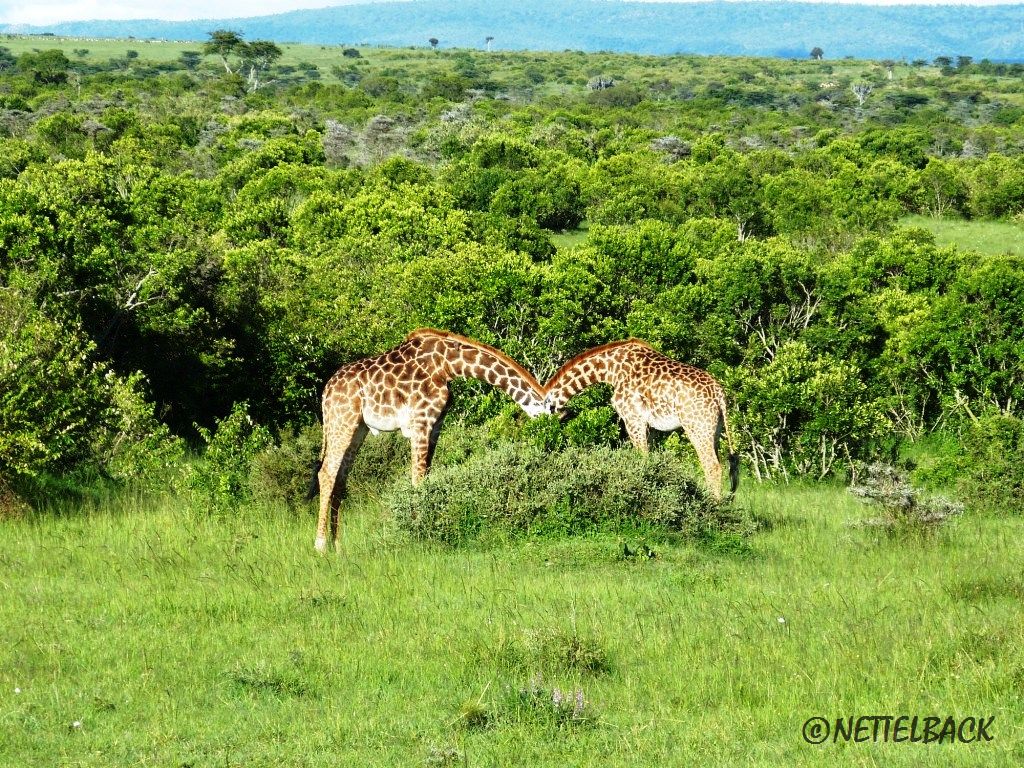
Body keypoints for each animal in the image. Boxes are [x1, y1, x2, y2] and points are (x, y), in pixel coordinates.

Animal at [311, 331, 552, 552]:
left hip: (358, 427)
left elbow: (426, 476)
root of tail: (326, 392)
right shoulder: (421, 421)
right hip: (342, 420)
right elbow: (416, 479)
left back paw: (338, 546)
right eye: (549, 414)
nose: (547, 436)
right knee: (326, 473)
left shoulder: (436, 424)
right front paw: (416, 532)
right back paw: (320, 546)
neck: (448, 364)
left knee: (340, 477)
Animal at [544, 342, 737, 499]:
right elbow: (649, 460)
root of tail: (720, 394)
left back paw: (714, 505)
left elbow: (641, 458)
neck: (609, 369)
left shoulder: (632, 418)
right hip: (715, 429)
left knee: (712, 466)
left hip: (697, 427)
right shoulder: (650, 426)